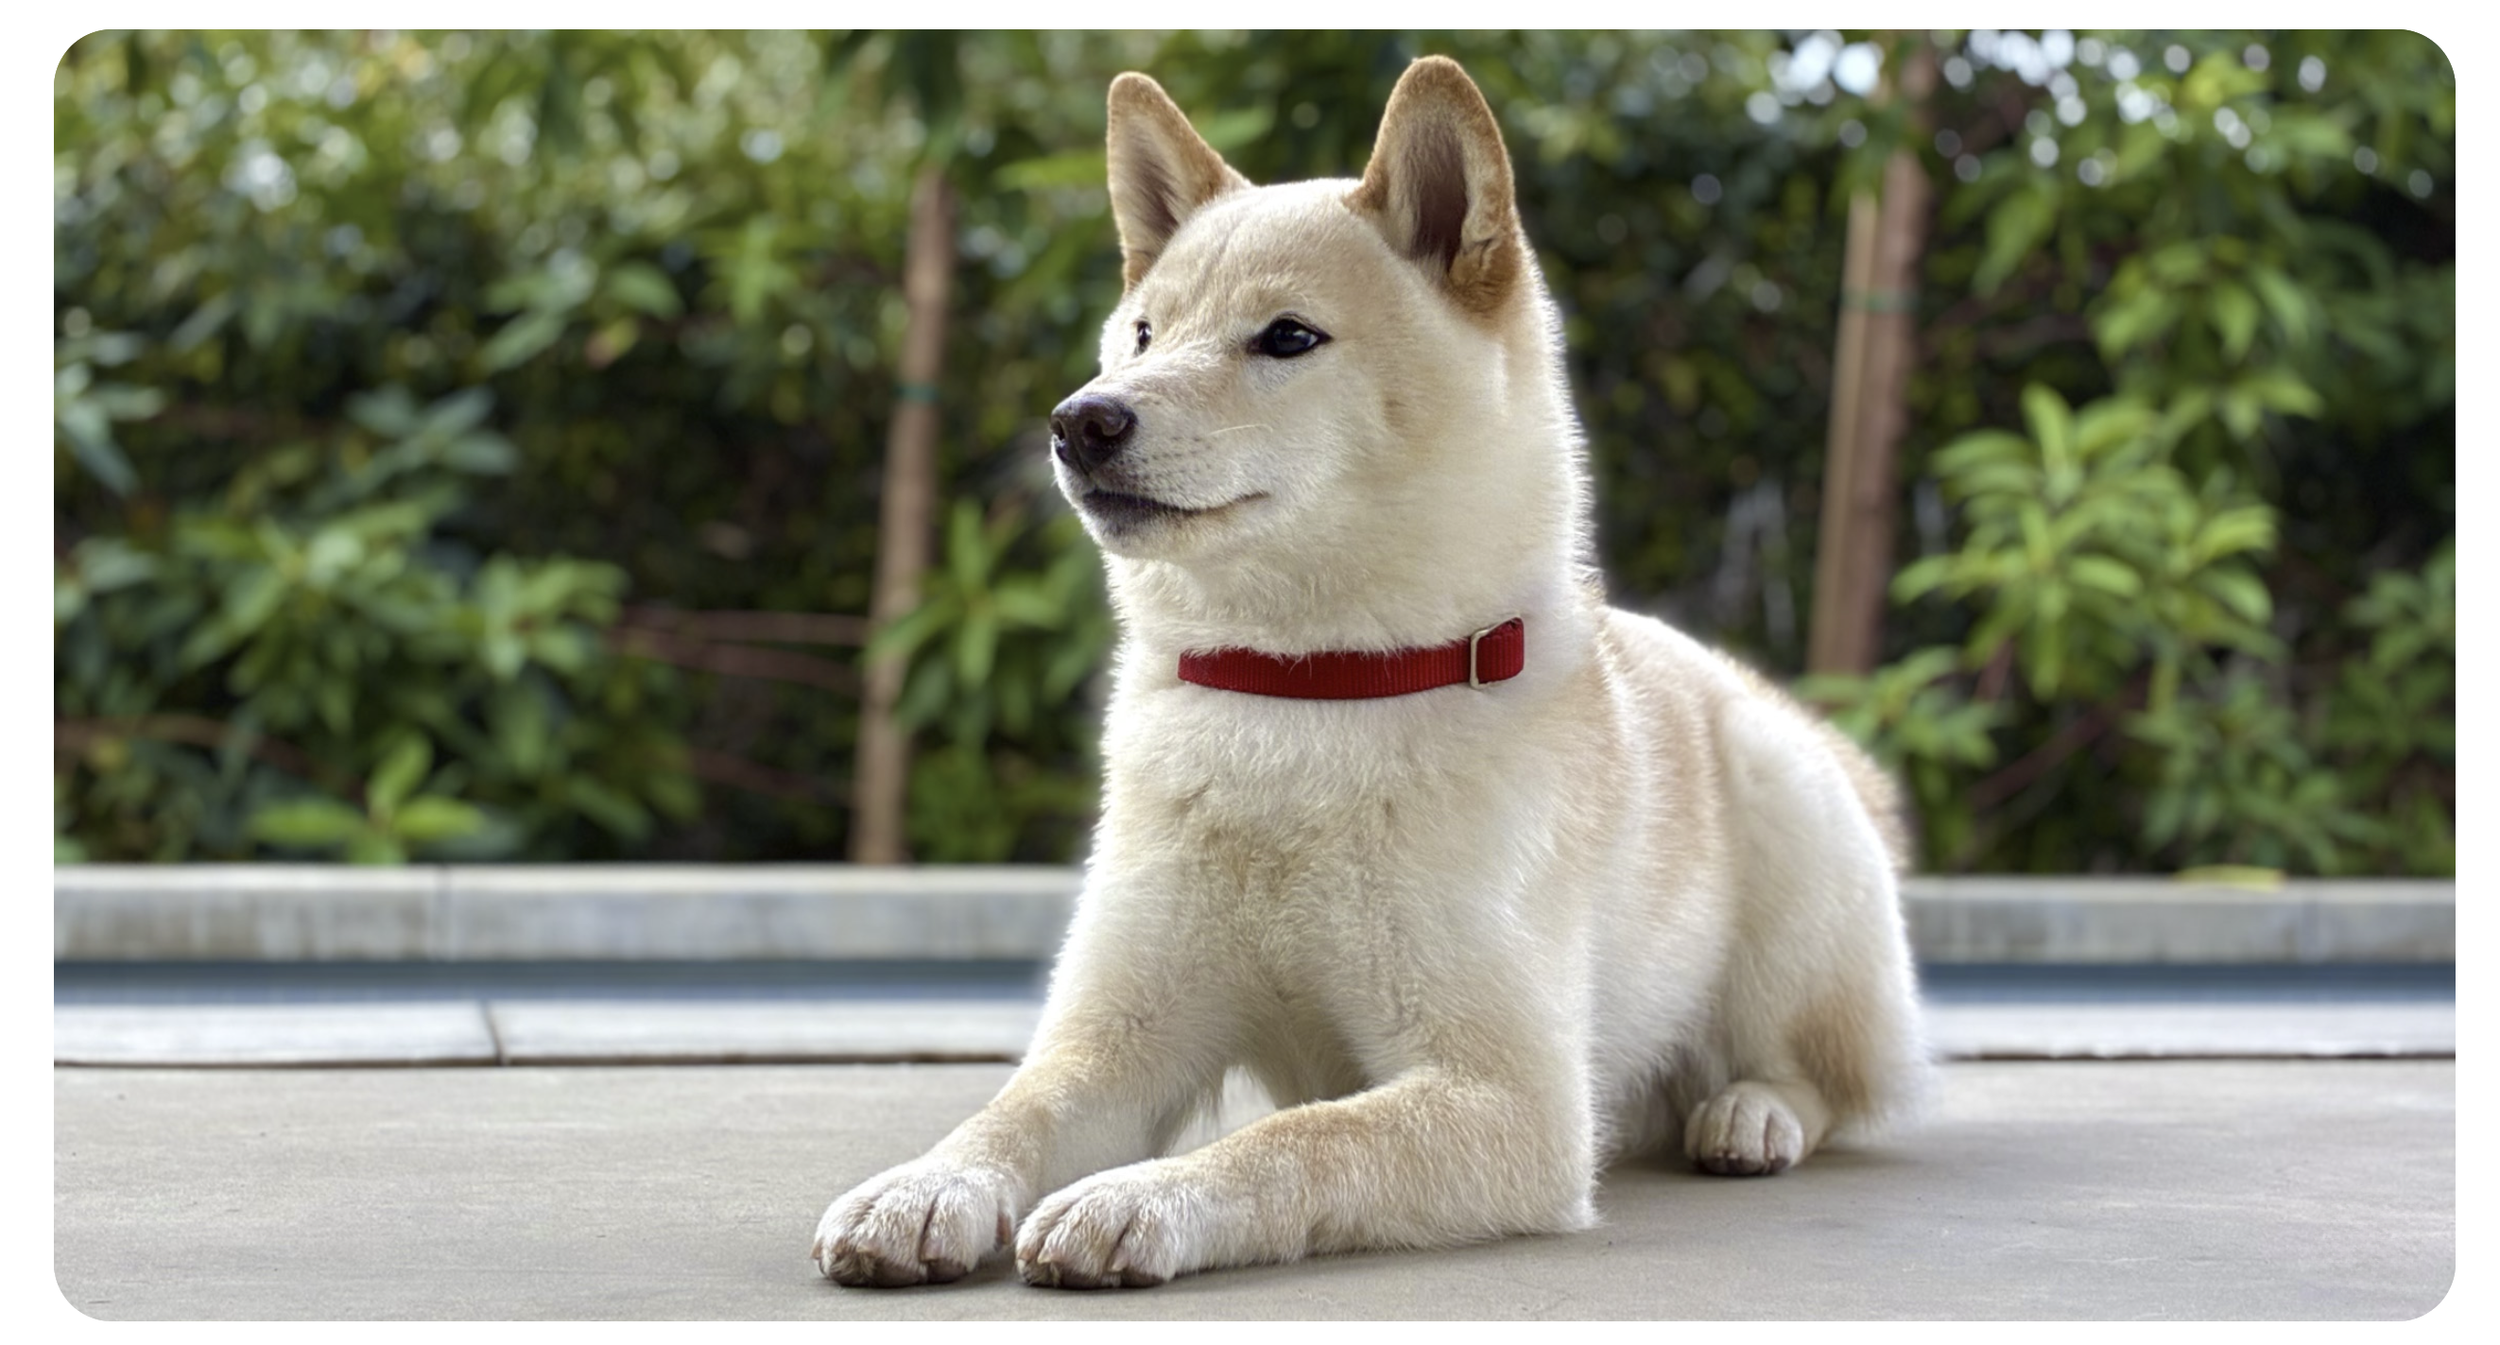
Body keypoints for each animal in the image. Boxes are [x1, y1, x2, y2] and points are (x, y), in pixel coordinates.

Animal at [814, 54, 1926, 1290]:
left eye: (1287, 338)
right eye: (1143, 335)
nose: (1080, 420)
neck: (1306, 693)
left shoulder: (1512, 1100)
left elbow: (1296, 1140)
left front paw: (1142, 1197)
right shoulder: (1120, 1034)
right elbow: (1016, 1108)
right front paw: (928, 1184)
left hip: (1788, 839)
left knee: (1825, 1079)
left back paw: (1750, 1112)